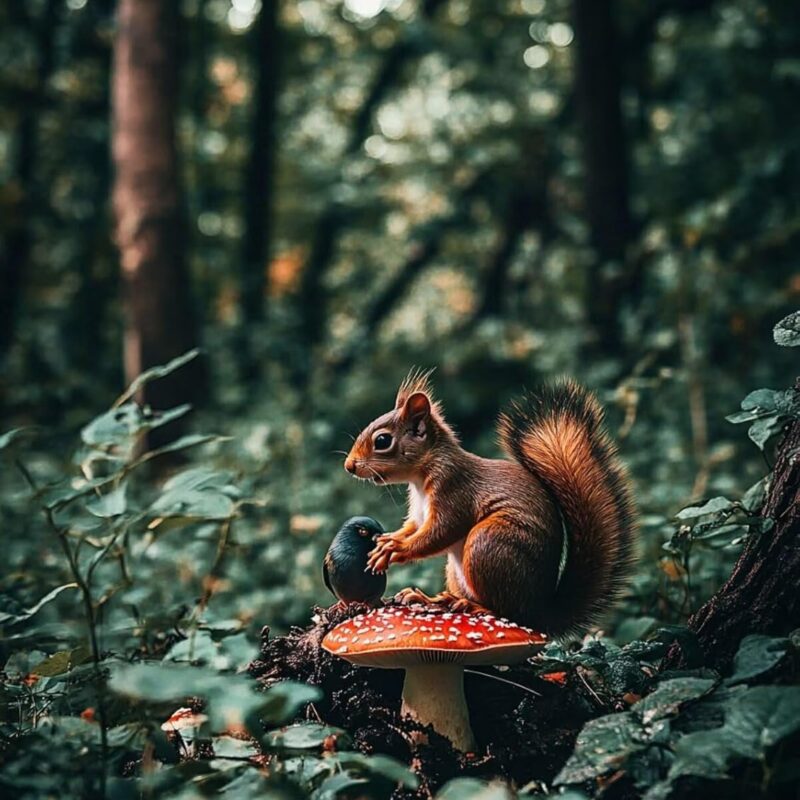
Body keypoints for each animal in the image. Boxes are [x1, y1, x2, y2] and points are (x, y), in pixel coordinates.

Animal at [343, 369, 637, 637]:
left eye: (382, 440)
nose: (349, 466)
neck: (422, 474)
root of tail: (540, 610)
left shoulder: (454, 490)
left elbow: (441, 532)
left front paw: (395, 548)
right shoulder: (418, 509)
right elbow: (414, 527)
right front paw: (389, 539)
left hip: (489, 544)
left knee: (506, 611)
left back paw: (473, 607)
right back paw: (434, 599)